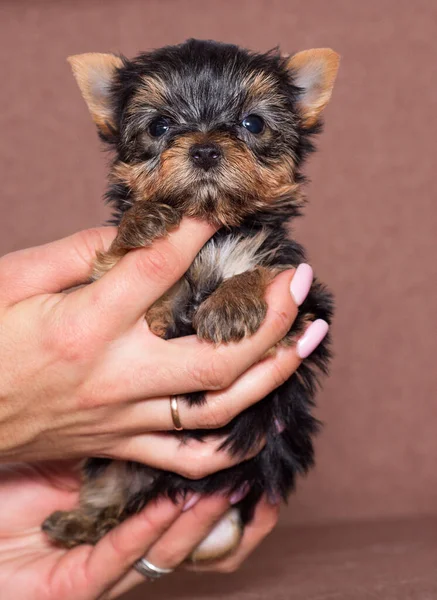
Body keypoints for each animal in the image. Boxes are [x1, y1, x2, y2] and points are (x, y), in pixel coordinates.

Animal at [43, 39, 338, 560]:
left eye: (252, 123)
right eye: (160, 126)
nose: (204, 148)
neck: (212, 227)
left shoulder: (305, 299)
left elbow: (266, 272)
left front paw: (230, 303)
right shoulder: (108, 280)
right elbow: (115, 261)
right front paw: (140, 222)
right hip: (111, 463)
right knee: (110, 483)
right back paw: (81, 520)